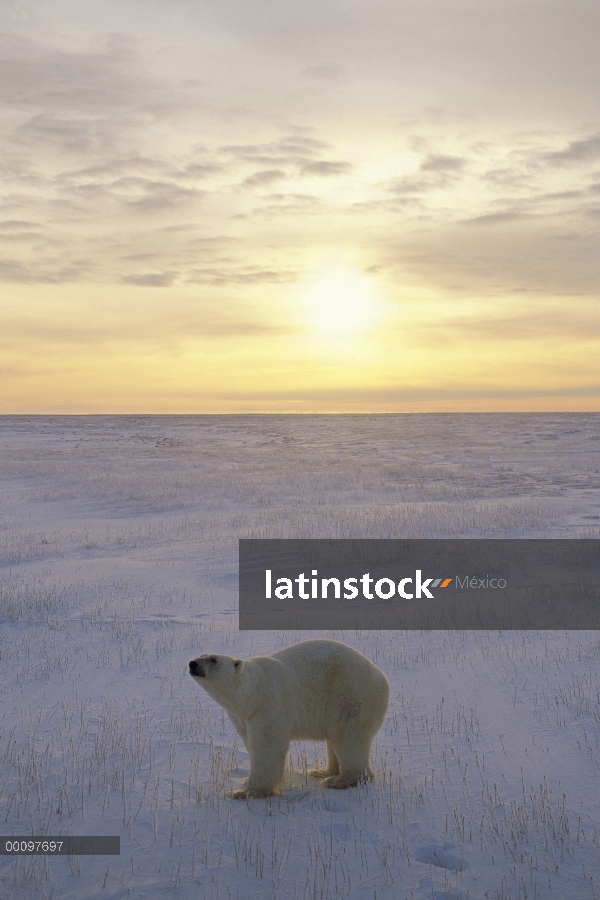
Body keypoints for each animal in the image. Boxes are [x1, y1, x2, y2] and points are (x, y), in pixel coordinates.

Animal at [190, 636, 392, 800]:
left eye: (213, 659)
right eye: (202, 654)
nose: (193, 663)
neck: (251, 693)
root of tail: (382, 678)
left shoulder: (270, 704)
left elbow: (267, 747)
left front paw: (245, 792)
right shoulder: (242, 717)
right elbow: (248, 740)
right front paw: (246, 782)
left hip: (350, 693)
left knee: (348, 736)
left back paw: (340, 780)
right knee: (334, 740)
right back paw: (322, 771)